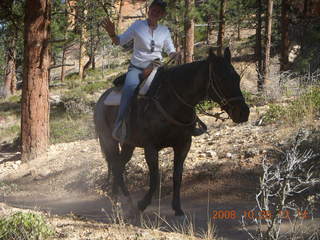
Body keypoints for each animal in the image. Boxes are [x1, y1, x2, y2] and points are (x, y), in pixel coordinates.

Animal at [94, 47, 249, 217]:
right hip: (109, 141)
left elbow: (177, 176)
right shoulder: (150, 148)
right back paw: (125, 202)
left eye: (237, 78)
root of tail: (101, 99)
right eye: (221, 79)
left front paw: (177, 208)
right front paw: (142, 204)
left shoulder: (183, 145)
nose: (243, 113)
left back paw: (119, 201)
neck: (172, 101)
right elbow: (155, 179)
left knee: (119, 166)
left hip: (129, 144)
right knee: (116, 166)